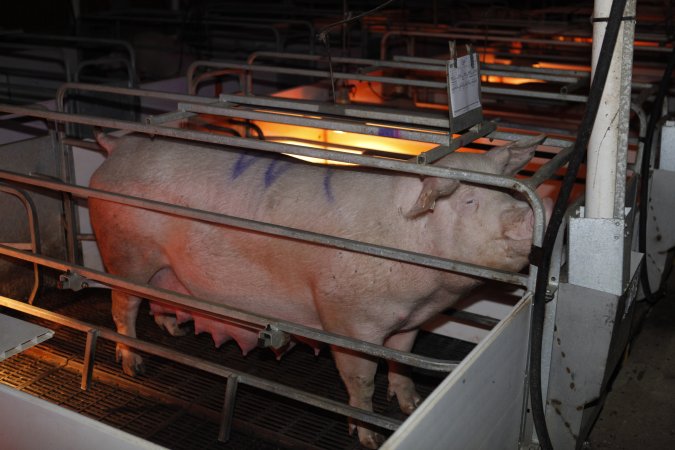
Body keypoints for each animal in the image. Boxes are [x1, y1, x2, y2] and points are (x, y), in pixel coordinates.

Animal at [87, 132, 548, 448]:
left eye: (511, 192)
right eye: (469, 201)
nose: (530, 216)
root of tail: (117, 146)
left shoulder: (408, 322)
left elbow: (401, 363)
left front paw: (412, 405)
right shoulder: (346, 319)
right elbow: (360, 379)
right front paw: (369, 437)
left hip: (161, 268)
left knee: (157, 301)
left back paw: (174, 330)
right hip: (125, 253)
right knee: (122, 307)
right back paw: (135, 366)